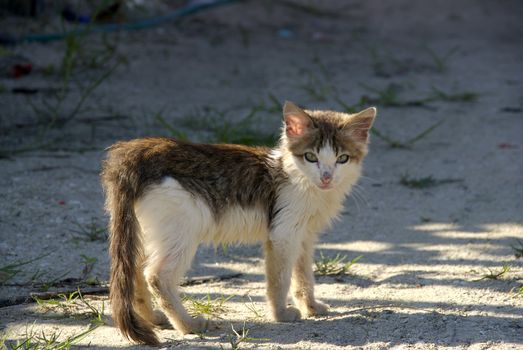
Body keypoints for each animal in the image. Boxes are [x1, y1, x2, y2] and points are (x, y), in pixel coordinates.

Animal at [101, 101, 376, 344]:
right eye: (310, 157)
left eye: (342, 159)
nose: (327, 177)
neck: (296, 176)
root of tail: (137, 150)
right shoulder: (283, 234)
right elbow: (280, 279)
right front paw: (281, 314)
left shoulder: (304, 236)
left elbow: (303, 276)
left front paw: (311, 307)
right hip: (183, 228)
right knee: (157, 277)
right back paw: (189, 325)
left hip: (150, 230)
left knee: (135, 268)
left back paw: (153, 318)